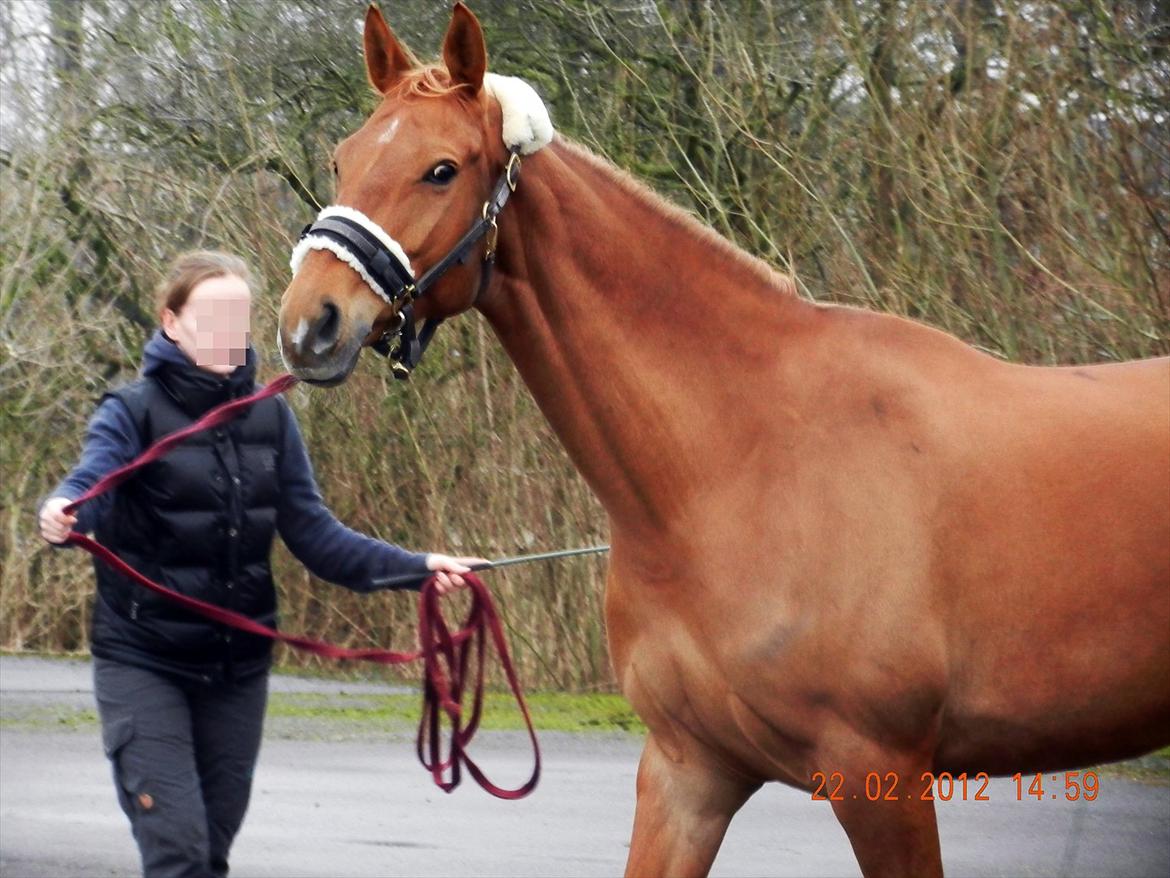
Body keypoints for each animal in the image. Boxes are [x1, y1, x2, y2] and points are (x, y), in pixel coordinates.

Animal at [280, 5, 1170, 875]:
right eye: (342, 159)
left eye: (442, 169)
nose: (308, 323)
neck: (739, 460)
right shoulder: (689, 771)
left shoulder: (882, 778)